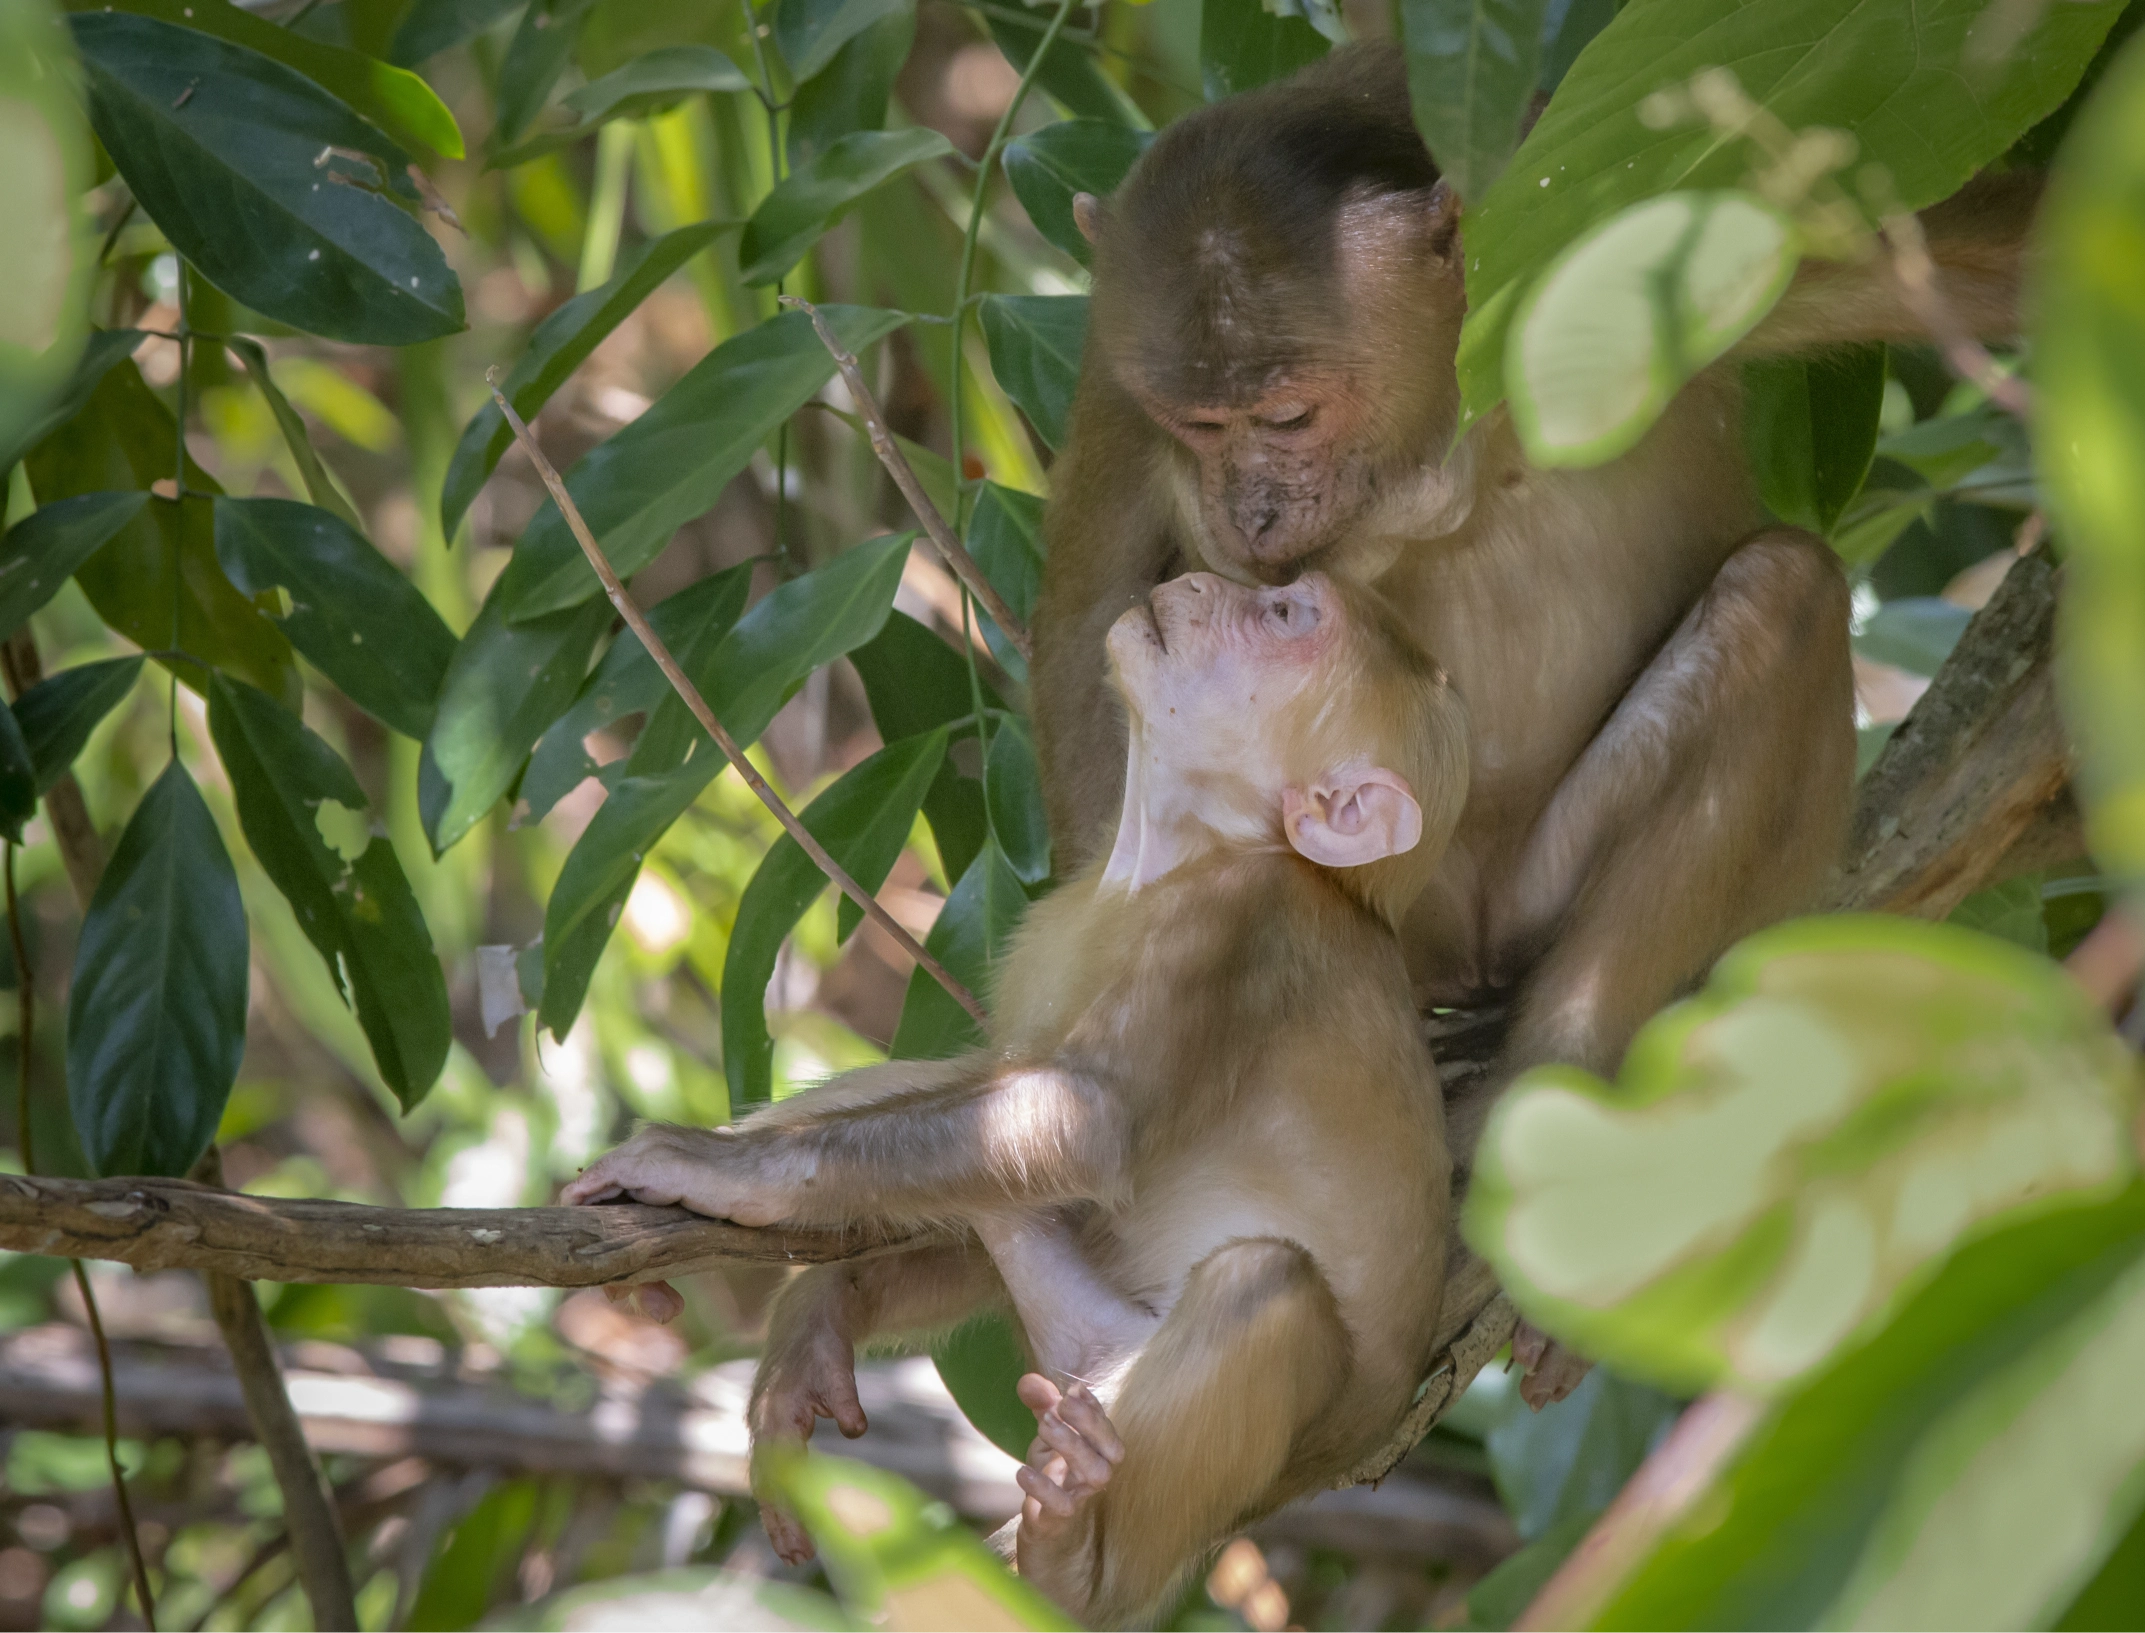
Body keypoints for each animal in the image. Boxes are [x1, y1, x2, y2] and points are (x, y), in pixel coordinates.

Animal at [566, 567, 1472, 1628]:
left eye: (1287, 616)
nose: (1209, 577)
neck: (1171, 859)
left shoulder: (1243, 922)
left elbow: (1085, 1119)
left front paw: (713, 1169)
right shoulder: (1053, 924)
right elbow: (1015, 1130)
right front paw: (817, 1299)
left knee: (1263, 1284)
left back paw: (1073, 1567)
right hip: (1087, 1345)